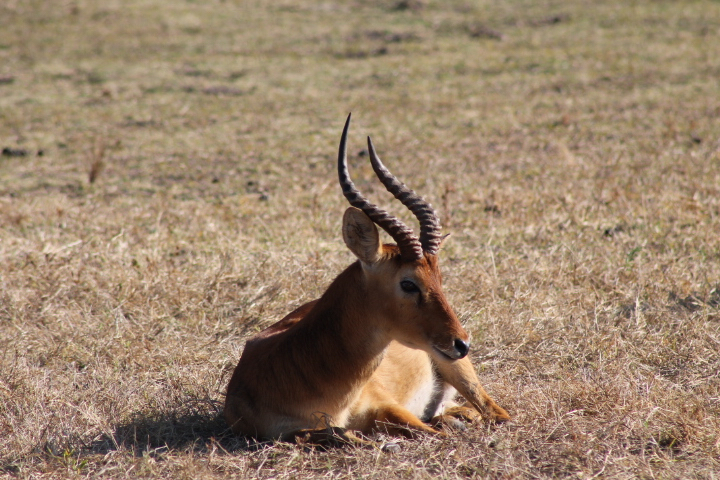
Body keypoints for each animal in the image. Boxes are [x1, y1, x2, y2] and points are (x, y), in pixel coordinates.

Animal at [222, 114, 510, 444]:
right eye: (408, 283)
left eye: (439, 278)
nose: (461, 342)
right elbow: (333, 433)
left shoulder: (388, 405)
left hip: (457, 369)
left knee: (495, 414)